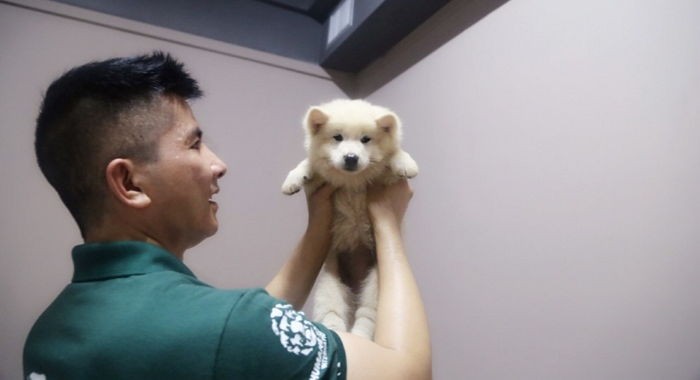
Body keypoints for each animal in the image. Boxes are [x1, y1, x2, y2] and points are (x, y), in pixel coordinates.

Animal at [282, 98, 418, 338]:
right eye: (337, 137)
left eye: (366, 139)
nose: (351, 158)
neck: (352, 181)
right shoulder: (319, 182)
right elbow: (309, 163)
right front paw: (293, 179)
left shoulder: (386, 179)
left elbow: (393, 156)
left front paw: (405, 163)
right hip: (330, 284)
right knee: (333, 313)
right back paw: (337, 332)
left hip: (376, 285)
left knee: (367, 316)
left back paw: (358, 334)